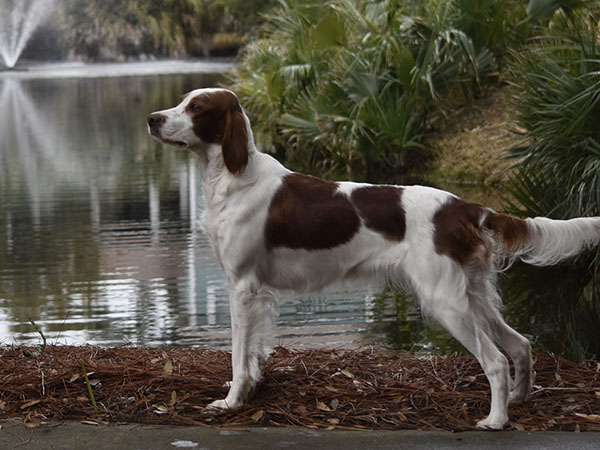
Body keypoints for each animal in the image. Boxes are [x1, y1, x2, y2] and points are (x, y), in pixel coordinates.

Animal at [148, 87, 600, 428]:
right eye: (181, 101)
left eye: (196, 107)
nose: (152, 118)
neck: (234, 176)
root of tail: (463, 206)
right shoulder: (257, 292)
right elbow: (254, 350)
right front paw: (252, 392)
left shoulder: (242, 286)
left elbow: (238, 357)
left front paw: (231, 402)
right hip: (472, 294)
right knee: (520, 344)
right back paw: (520, 401)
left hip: (445, 301)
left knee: (495, 360)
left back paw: (496, 420)